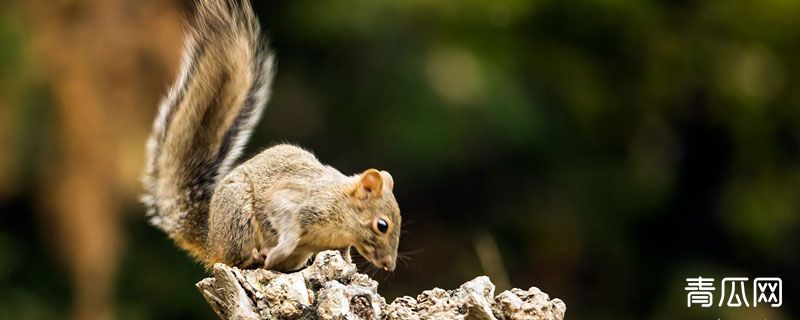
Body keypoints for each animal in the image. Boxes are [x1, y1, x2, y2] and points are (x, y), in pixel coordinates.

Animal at [141, 0, 400, 272]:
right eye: (382, 225)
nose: (389, 266)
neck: (341, 205)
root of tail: (212, 238)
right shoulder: (298, 201)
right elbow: (286, 222)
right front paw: (280, 250)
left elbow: (343, 252)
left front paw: (348, 264)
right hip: (238, 215)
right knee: (235, 257)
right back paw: (256, 257)